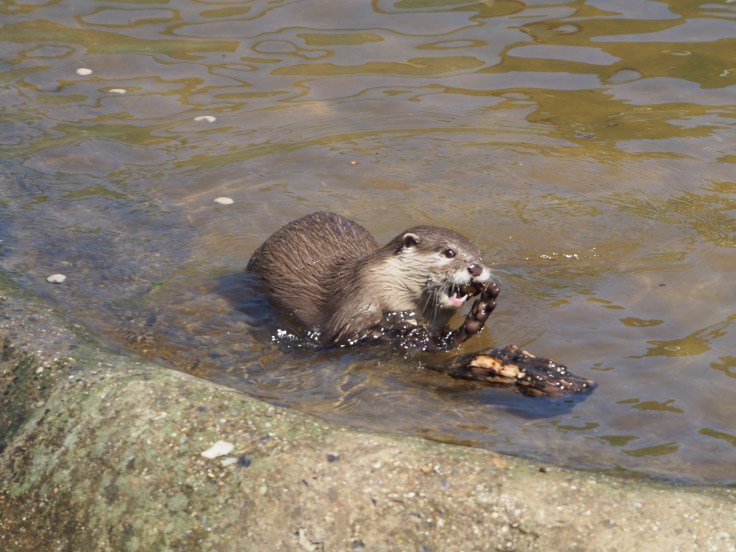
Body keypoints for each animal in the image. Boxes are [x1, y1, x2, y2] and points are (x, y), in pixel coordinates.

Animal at [247, 211, 499, 350]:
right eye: (449, 252)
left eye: (478, 254)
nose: (476, 267)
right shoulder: (355, 300)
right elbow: (344, 335)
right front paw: (409, 334)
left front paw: (479, 314)